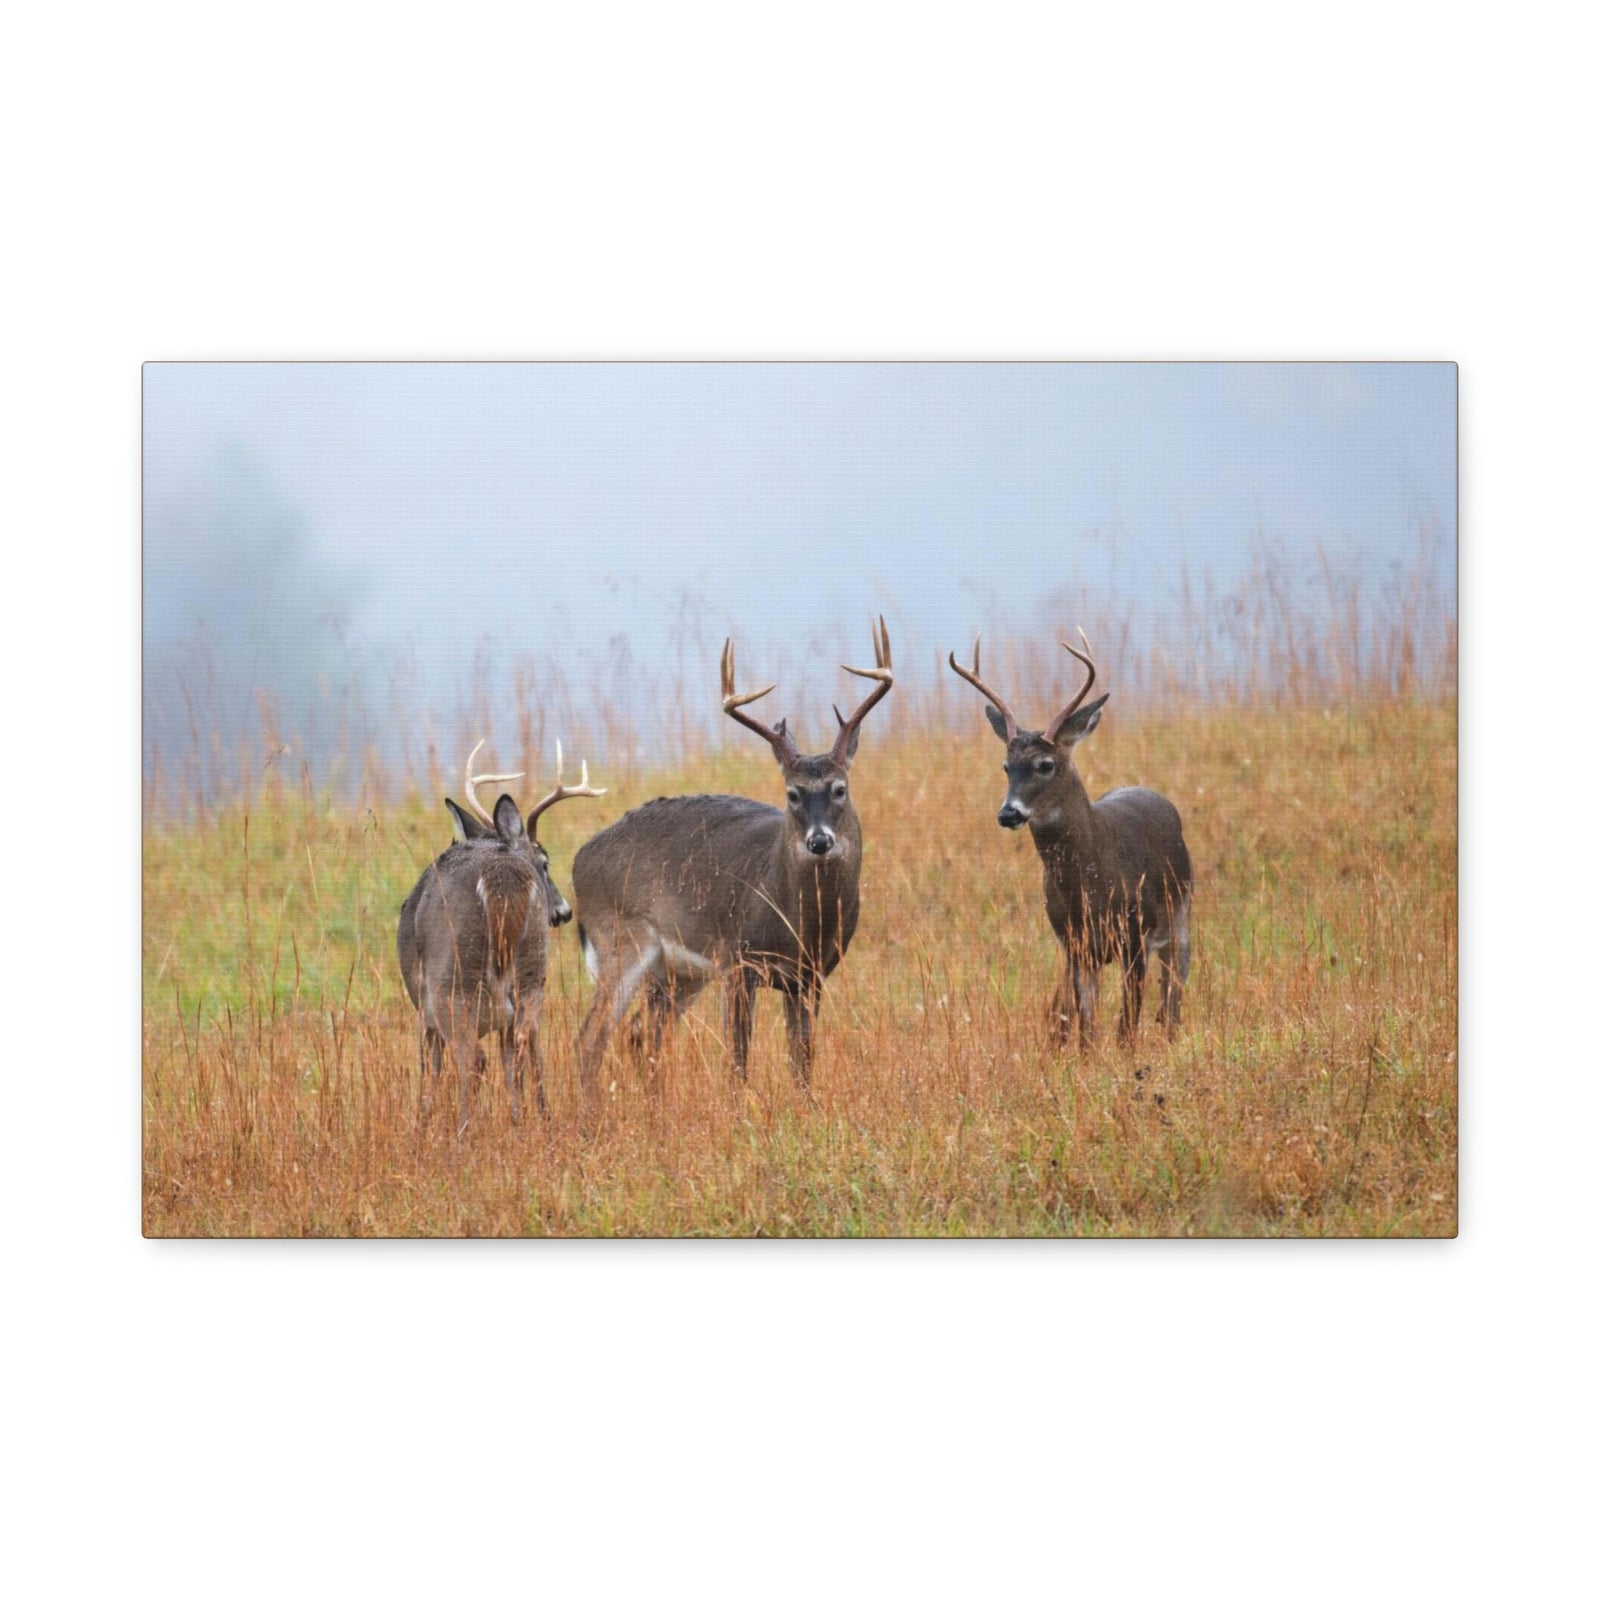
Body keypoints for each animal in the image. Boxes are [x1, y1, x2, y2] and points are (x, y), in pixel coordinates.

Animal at [397, 739, 604, 1132]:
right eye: (545, 863)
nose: (564, 912)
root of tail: (499, 874)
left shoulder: (421, 1007)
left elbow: (429, 1071)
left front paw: (421, 1127)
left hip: (452, 978)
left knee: (475, 1059)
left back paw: (462, 1134)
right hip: (532, 970)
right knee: (525, 1042)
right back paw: (532, 1123)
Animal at [571, 617, 893, 1103]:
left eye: (840, 788)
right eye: (792, 793)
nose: (819, 841)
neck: (799, 919)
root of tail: (578, 860)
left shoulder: (811, 975)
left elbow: (802, 1057)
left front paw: (807, 1107)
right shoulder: (739, 961)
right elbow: (738, 1056)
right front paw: (740, 1110)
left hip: (678, 973)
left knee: (641, 1033)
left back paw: (655, 1106)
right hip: (622, 940)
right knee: (592, 1037)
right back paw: (591, 1113)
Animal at [948, 630, 1192, 1046]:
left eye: (1045, 764)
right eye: (1006, 766)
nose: (1009, 813)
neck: (1090, 888)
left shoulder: (1136, 935)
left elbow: (1127, 1025)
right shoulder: (1074, 945)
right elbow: (1087, 1027)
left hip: (1181, 919)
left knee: (1173, 994)